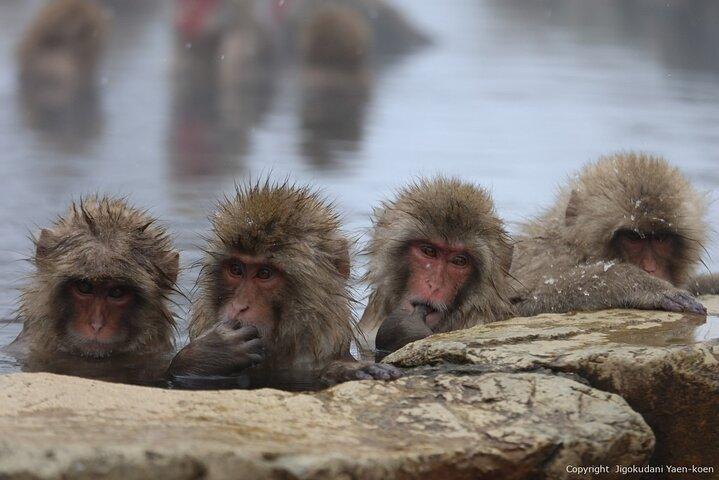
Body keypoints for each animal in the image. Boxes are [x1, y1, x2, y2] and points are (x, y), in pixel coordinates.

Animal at [509, 152, 718, 317]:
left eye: (660, 238)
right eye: (633, 238)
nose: (650, 269)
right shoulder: (546, 259)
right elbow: (517, 304)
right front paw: (642, 285)